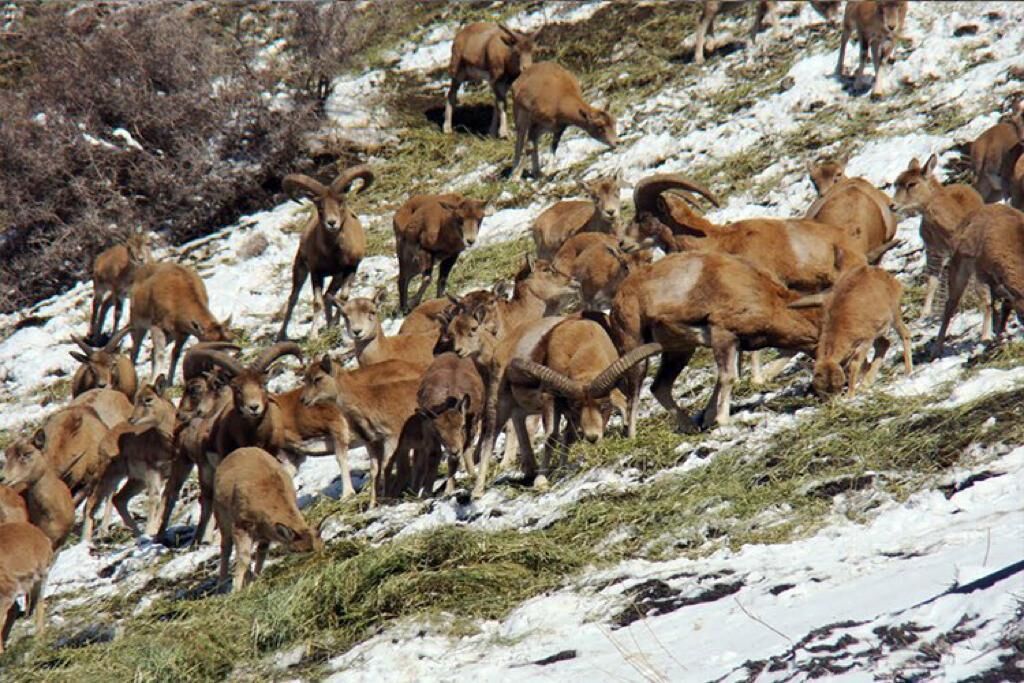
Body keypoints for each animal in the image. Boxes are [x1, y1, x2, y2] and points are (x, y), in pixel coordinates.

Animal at [210, 448, 315, 593]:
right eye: (299, 550)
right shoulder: (240, 526)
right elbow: (244, 557)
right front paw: (236, 591)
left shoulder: (266, 534)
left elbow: (261, 554)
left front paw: (253, 582)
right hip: (222, 518)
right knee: (226, 547)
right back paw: (221, 586)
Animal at [278, 163, 374, 339]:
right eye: (320, 206)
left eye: (341, 202)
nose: (332, 223)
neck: (333, 253)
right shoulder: (316, 273)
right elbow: (317, 302)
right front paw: (313, 336)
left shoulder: (350, 269)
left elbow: (342, 297)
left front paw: (335, 325)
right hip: (301, 268)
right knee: (294, 298)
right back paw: (281, 335)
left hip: (336, 277)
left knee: (329, 295)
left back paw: (331, 325)